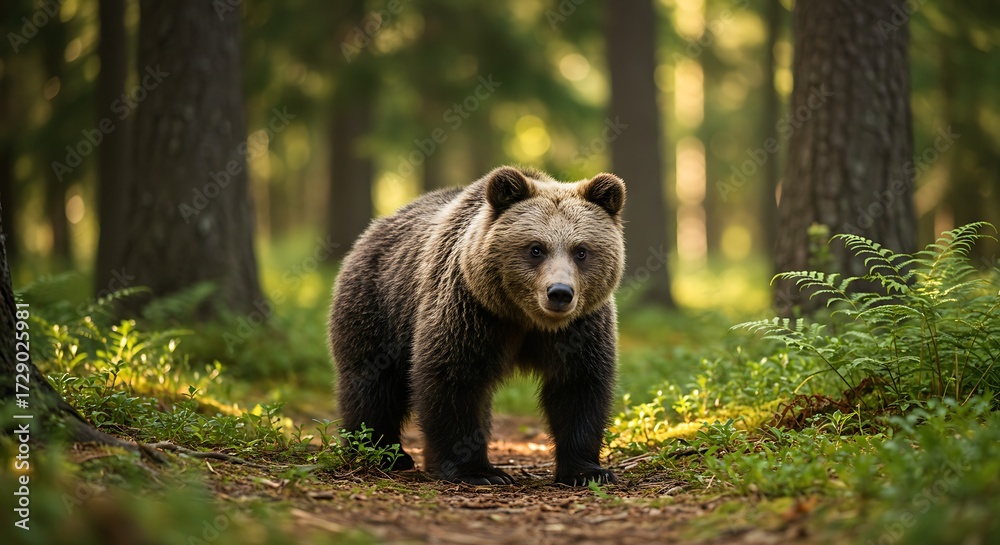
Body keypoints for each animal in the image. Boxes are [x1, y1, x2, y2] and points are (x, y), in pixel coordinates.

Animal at [329, 165, 625, 486]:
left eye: (581, 250)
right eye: (536, 249)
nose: (559, 292)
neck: (525, 317)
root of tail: (374, 228)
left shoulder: (580, 328)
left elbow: (579, 386)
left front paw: (587, 471)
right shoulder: (470, 310)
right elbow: (454, 378)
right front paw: (480, 472)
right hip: (378, 306)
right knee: (372, 383)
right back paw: (380, 452)